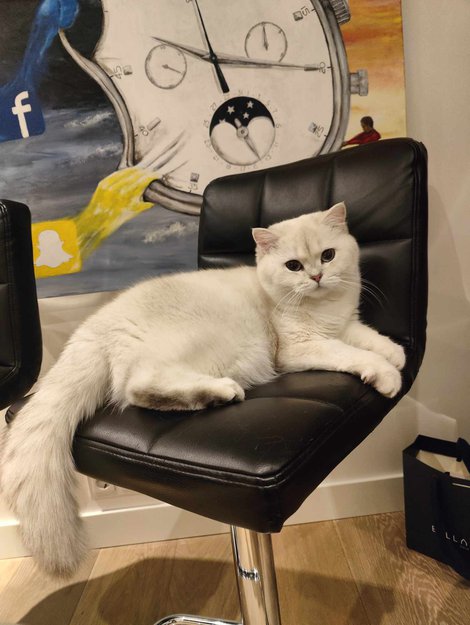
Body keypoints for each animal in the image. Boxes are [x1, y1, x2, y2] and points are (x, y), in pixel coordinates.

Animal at [1, 202, 405, 578]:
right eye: (293, 266)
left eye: (328, 255)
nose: (318, 276)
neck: (321, 309)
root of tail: (96, 325)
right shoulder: (301, 348)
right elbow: (351, 354)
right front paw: (386, 374)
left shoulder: (346, 326)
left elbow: (368, 338)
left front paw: (395, 354)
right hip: (217, 348)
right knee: (140, 386)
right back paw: (220, 392)